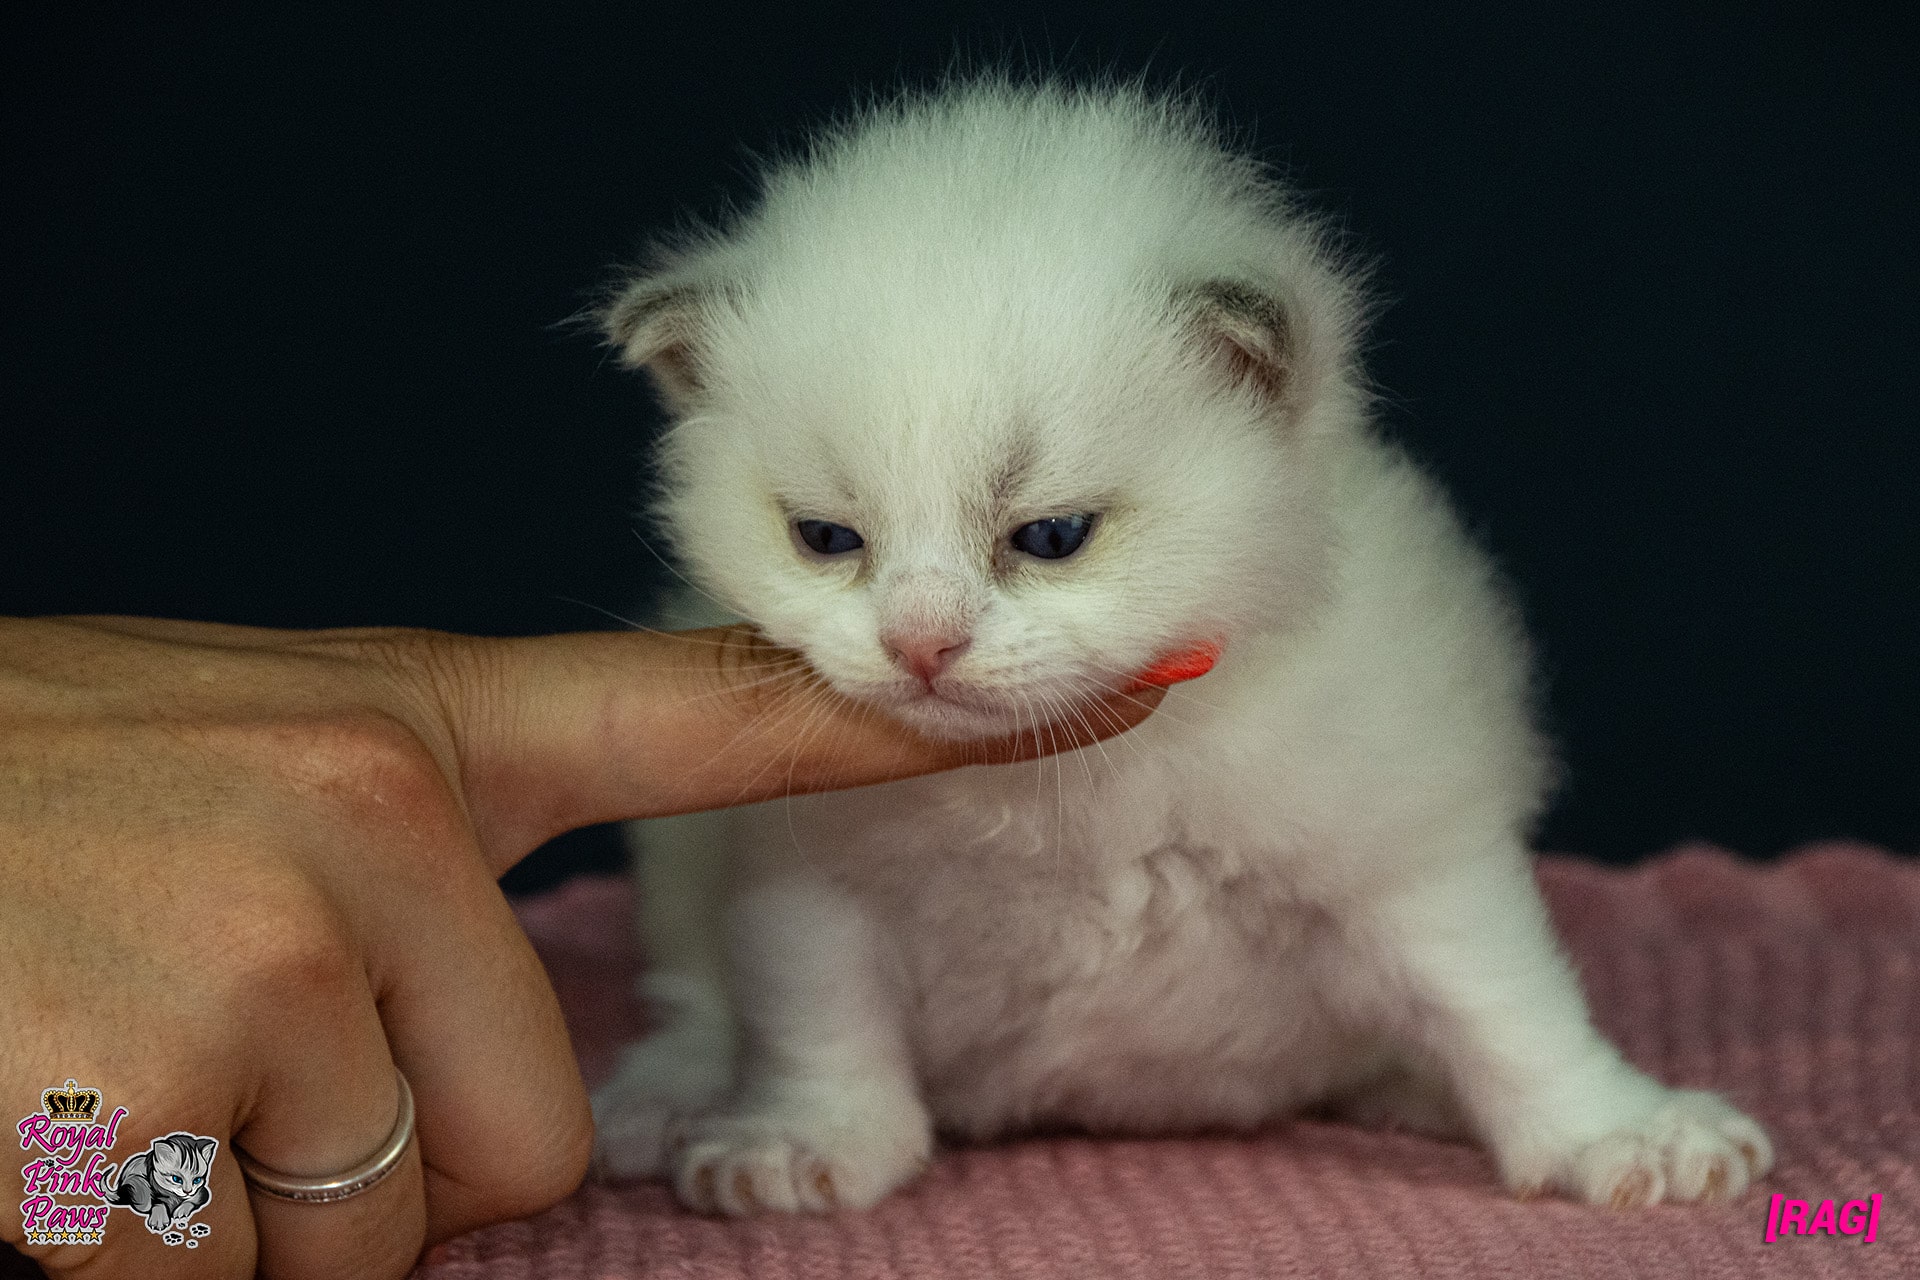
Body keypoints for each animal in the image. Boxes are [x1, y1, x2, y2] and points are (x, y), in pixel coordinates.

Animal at [583, 82, 1766, 1220]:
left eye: (1052, 536)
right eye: (826, 539)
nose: (920, 643)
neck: (1058, 782)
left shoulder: (1410, 853)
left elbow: (1509, 1006)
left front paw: (1617, 1130)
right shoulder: (802, 883)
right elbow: (820, 1023)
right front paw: (808, 1141)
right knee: (696, 999)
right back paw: (663, 1101)